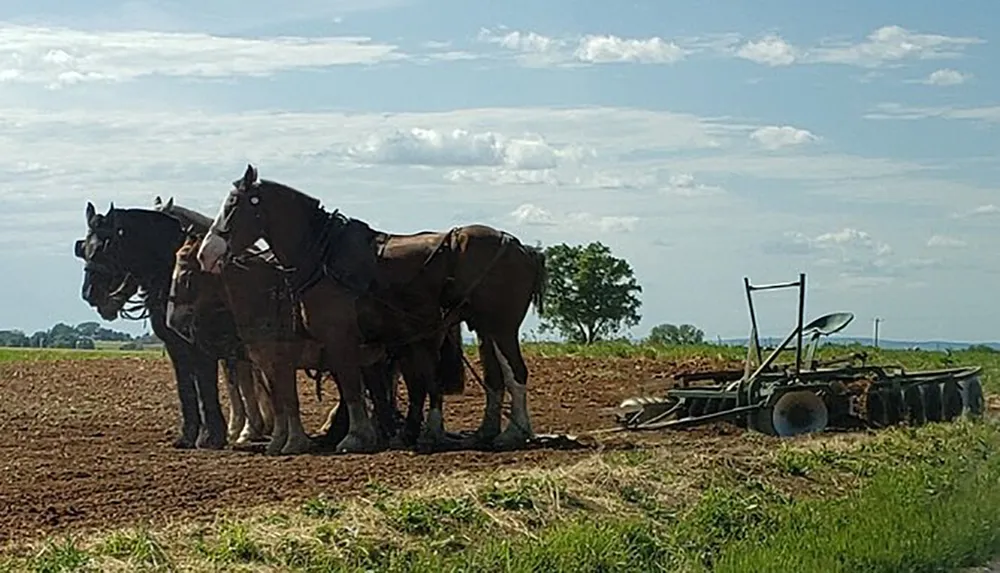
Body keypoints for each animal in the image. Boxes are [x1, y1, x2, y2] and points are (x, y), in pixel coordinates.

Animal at [195, 163, 548, 454]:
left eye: (233, 205)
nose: (205, 254)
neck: (323, 255)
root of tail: (522, 247)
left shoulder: (339, 337)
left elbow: (351, 386)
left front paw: (355, 437)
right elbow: (356, 385)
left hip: (502, 327)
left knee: (515, 372)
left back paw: (515, 433)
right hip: (484, 328)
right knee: (494, 377)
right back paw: (485, 431)